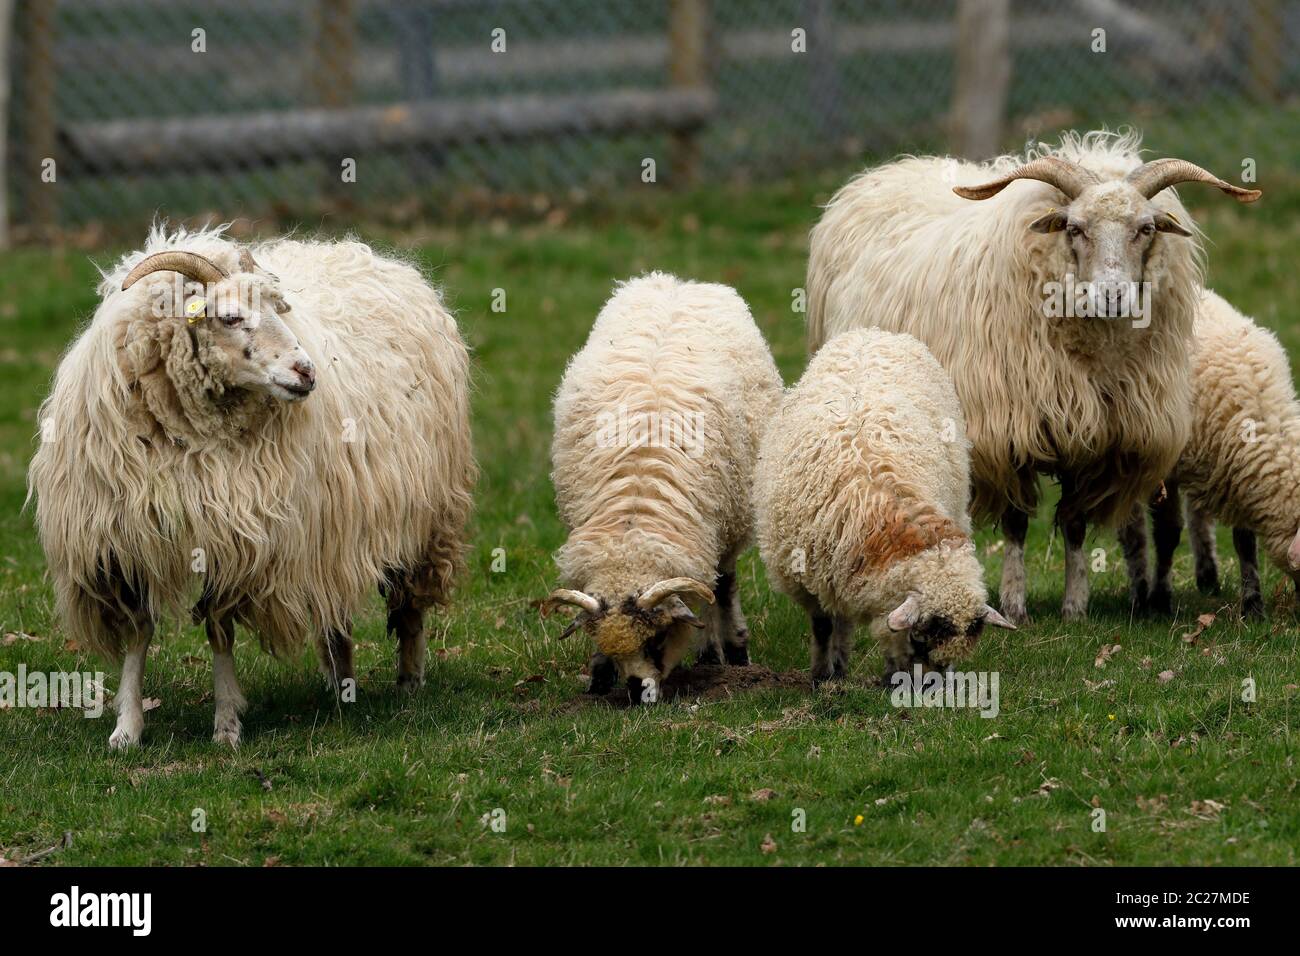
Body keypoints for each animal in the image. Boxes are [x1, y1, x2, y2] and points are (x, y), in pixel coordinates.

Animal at [27, 223, 475, 749]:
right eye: (230, 316)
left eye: (280, 308)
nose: (307, 371)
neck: (189, 440)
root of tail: (364, 255)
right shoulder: (127, 542)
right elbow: (139, 634)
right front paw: (127, 728)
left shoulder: (238, 538)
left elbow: (219, 631)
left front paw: (225, 725)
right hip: (332, 527)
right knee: (335, 604)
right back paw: (341, 680)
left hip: (426, 513)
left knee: (410, 602)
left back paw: (408, 679)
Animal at [538, 270, 780, 702]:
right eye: (612, 647)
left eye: (656, 639)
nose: (638, 692)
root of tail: (678, 281)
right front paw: (599, 676)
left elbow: (718, 592)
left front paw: (727, 653)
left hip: (729, 520)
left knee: (722, 585)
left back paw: (724, 651)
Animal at [759, 330, 1019, 686]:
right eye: (919, 638)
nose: (930, 689)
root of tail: (874, 332)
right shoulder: (807, 576)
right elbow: (823, 625)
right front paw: (823, 676)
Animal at [811, 130, 1258, 624]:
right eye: (1074, 228)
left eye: (1145, 229)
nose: (1112, 295)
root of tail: (894, 168)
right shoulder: (1008, 433)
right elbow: (1016, 523)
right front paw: (1014, 603)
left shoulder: (1096, 437)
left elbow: (1075, 524)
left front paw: (1075, 605)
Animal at [1118, 293, 1300, 621]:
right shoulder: (1169, 471)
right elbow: (1167, 535)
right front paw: (1160, 600)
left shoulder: (1239, 472)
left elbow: (1245, 542)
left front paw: (1253, 606)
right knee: (1132, 527)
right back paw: (1139, 592)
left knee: (1198, 515)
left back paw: (1208, 575)